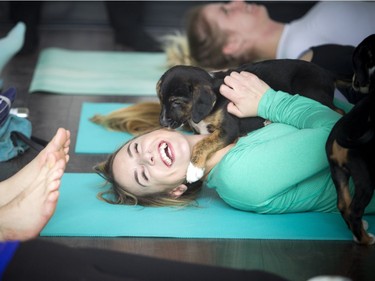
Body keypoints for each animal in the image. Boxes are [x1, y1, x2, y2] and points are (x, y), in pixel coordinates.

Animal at [157, 58, 342, 183]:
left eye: (176, 102)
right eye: (161, 99)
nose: (163, 123)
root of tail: (328, 73)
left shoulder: (228, 130)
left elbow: (202, 144)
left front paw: (194, 170)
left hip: (310, 92)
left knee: (336, 111)